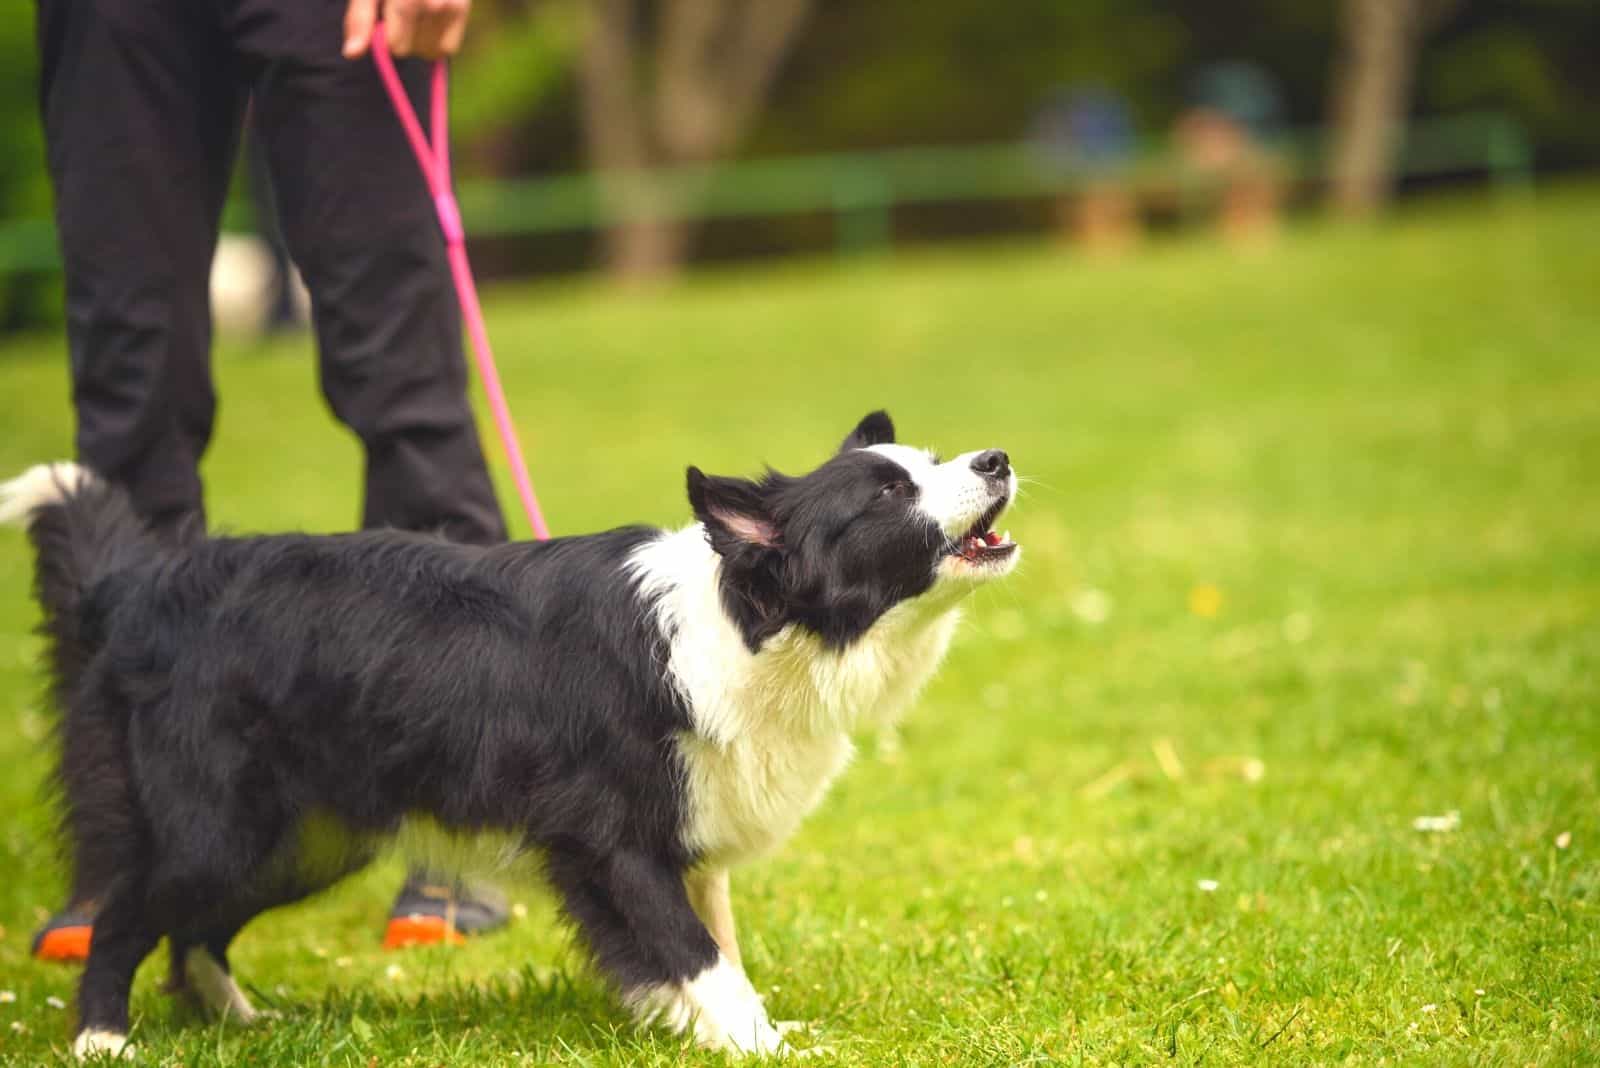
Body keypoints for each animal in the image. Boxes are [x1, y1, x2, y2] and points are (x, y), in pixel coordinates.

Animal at [0, 412, 1017, 1055]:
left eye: (934, 460)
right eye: (885, 493)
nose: (999, 459)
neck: (752, 623)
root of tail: (139, 586)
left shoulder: (688, 831)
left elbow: (712, 945)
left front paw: (720, 1031)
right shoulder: (611, 839)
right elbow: (698, 954)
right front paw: (758, 1043)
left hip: (307, 837)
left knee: (195, 933)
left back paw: (243, 1025)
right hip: (220, 824)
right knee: (126, 914)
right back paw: (102, 1040)